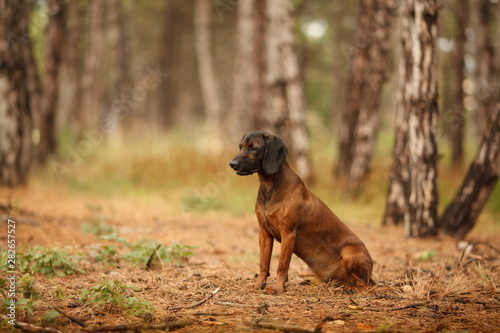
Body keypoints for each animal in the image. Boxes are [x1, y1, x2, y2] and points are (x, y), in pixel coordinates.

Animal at [229, 131, 374, 292]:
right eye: (240, 147)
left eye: (253, 148)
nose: (232, 164)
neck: (270, 189)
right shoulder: (264, 233)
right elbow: (263, 263)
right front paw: (258, 284)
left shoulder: (288, 234)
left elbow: (282, 265)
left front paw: (277, 289)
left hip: (349, 251)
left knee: (365, 284)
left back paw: (351, 288)